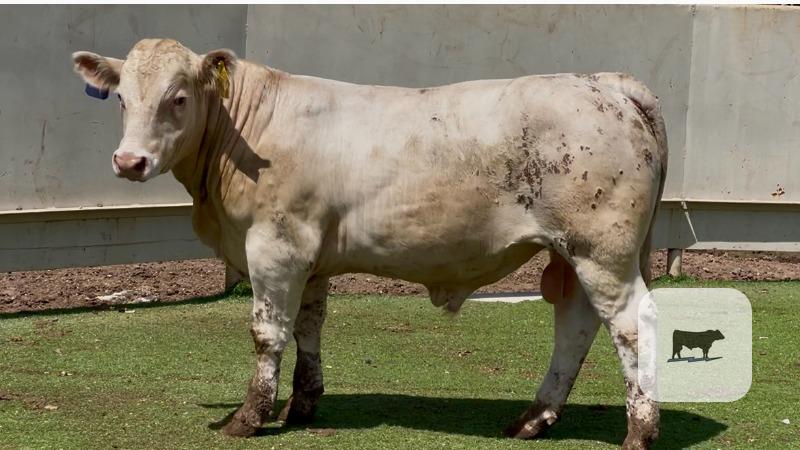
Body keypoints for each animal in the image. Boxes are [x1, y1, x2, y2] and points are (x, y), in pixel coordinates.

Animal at [72, 39, 668, 449]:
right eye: (122, 98)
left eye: (177, 98)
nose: (129, 161)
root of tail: (604, 82)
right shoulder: (309, 259)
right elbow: (308, 327)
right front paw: (301, 404)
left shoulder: (275, 246)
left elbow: (268, 333)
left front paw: (250, 416)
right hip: (575, 253)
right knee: (575, 325)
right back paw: (533, 418)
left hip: (601, 251)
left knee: (630, 323)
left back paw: (639, 431)